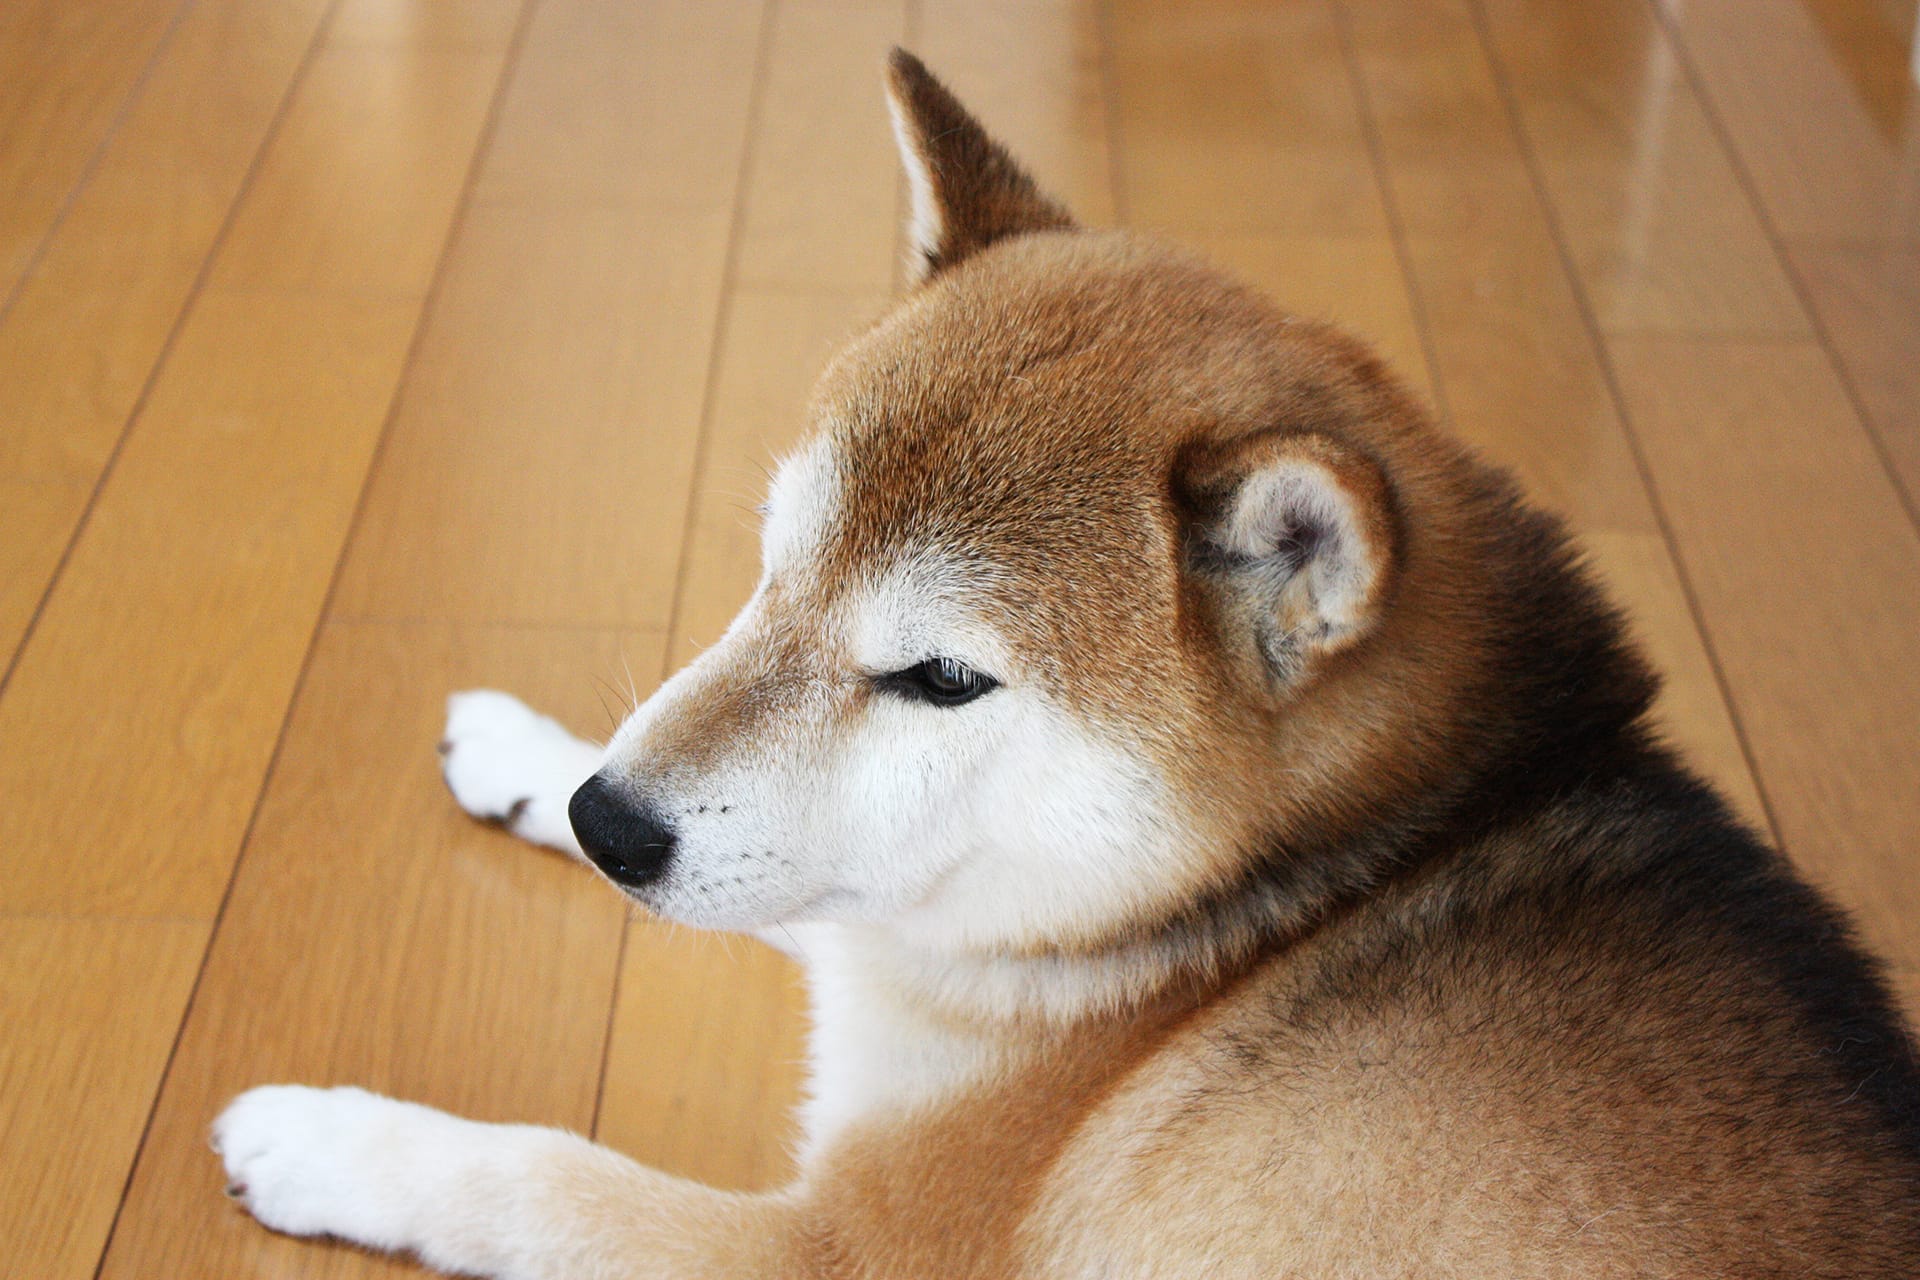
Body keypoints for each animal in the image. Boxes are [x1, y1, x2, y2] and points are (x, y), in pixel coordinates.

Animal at [210, 52, 1920, 1280]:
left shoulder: (853, 1245)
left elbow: (543, 1177)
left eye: (942, 681)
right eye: (772, 565)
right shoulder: (902, 930)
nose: (610, 827)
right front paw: (525, 748)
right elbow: (798, 896)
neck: (1296, 895)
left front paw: (332, 1140)